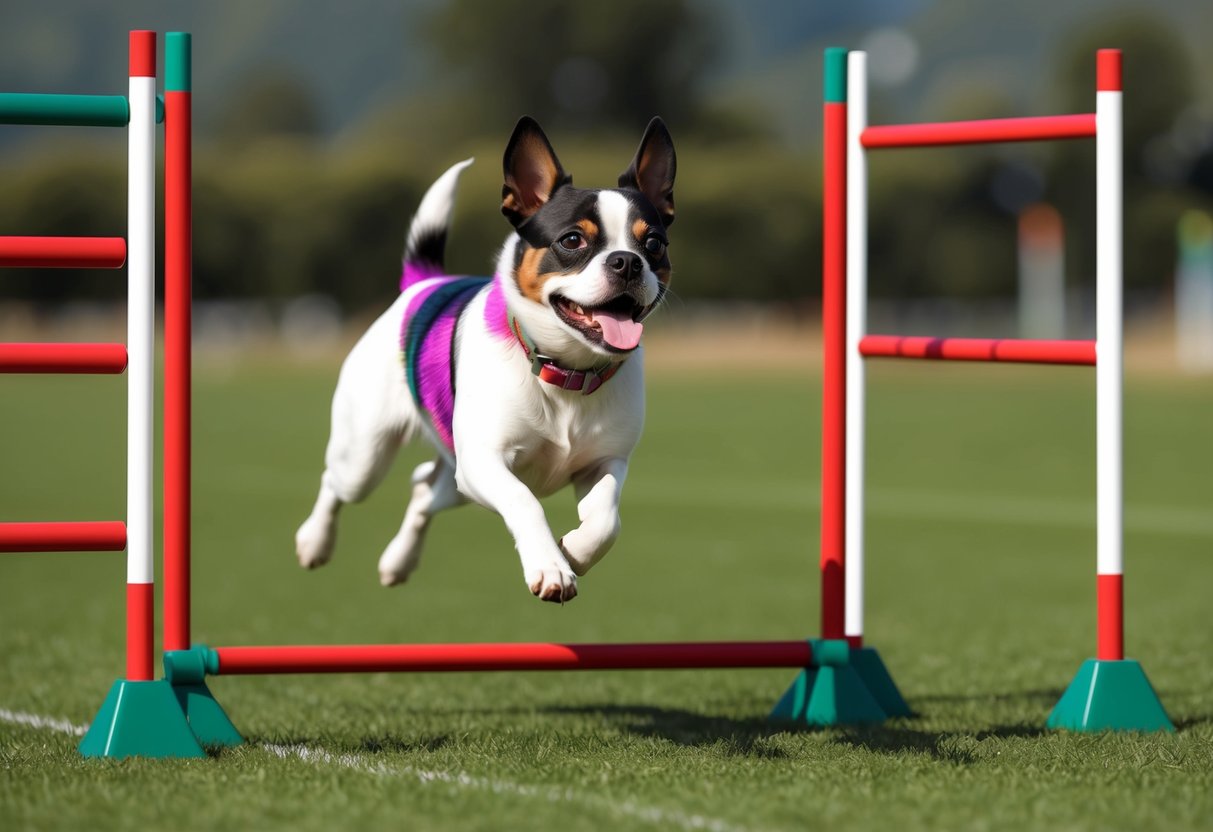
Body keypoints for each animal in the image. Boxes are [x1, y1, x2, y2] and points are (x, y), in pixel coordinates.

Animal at [293, 115, 674, 606]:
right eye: (572, 240)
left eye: (655, 244)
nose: (627, 261)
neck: (563, 370)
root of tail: (423, 281)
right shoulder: (485, 461)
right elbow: (524, 501)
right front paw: (550, 566)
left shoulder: (605, 463)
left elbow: (607, 520)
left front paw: (574, 551)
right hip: (369, 455)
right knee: (336, 482)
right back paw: (314, 542)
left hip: (458, 481)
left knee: (422, 487)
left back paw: (398, 560)